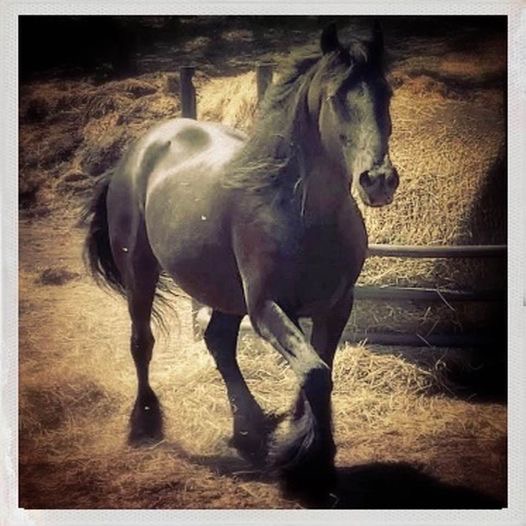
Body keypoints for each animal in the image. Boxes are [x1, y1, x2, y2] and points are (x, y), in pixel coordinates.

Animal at [84, 23, 400, 496]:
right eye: (335, 97)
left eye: (386, 93)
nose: (378, 180)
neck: (300, 211)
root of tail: (141, 148)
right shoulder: (267, 307)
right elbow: (314, 373)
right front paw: (309, 464)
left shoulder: (336, 307)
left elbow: (318, 371)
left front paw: (302, 446)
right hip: (140, 272)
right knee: (142, 342)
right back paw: (145, 425)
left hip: (224, 292)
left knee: (218, 342)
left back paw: (249, 433)